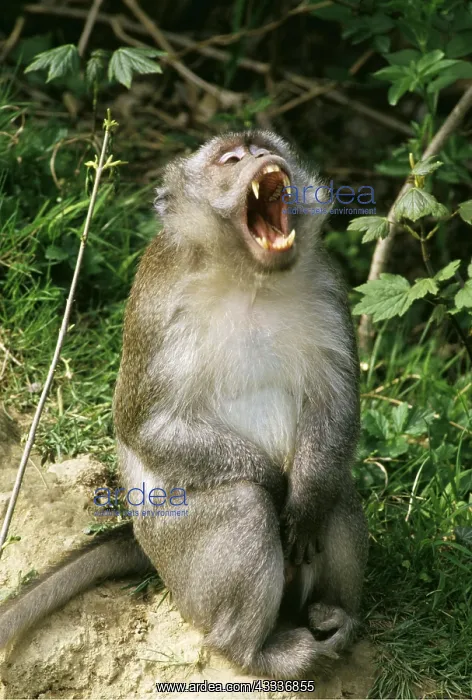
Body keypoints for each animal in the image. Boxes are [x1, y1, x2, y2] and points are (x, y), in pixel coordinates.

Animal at [0, 131, 368, 680]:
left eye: (265, 146)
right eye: (231, 159)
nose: (262, 157)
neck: (250, 279)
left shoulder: (326, 285)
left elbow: (336, 398)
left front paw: (303, 496)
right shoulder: (160, 309)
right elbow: (145, 425)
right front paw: (275, 483)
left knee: (335, 486)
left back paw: (335, 611)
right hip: (184, 564)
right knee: (242, 504)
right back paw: (252, 648)